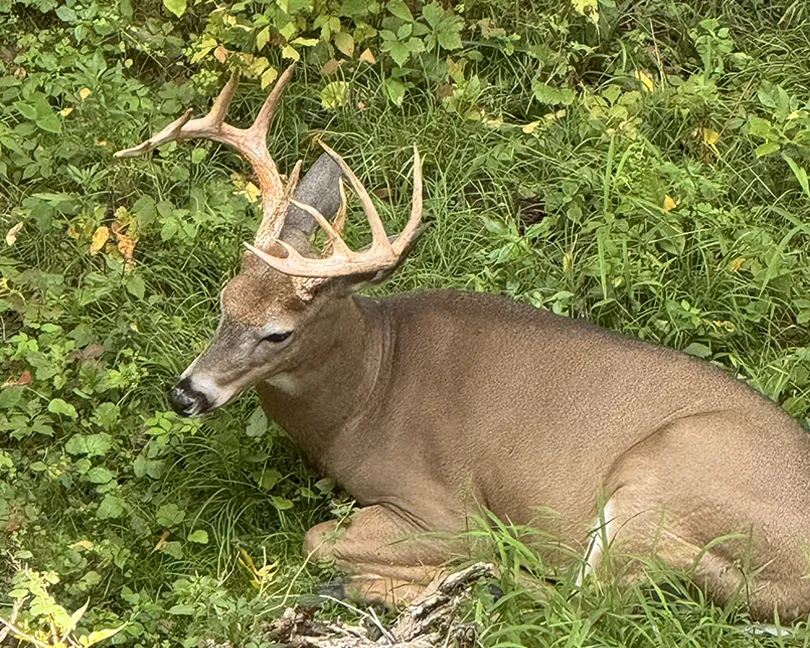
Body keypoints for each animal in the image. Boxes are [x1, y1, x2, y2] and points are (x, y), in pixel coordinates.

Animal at [115, 65, 810, 623]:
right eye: (225, 298)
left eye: (278, 331)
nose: (186, 393)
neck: (364, 395)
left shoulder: (445, 508)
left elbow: (319, 538)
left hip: (658, 482)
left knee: (584, 603)